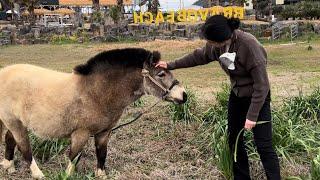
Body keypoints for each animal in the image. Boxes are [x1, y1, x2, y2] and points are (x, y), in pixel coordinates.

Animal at [0, 48, 186, 179]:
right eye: (161, 74)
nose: (183, 95)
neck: (96, 92)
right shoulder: (81, 134)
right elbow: (74, 158)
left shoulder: (104, 133)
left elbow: (101, 154)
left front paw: (101, 175)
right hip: (14, 123)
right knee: (24, 147)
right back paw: (37, 174)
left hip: (15, 122)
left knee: (9, 139)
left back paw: (9, 166)